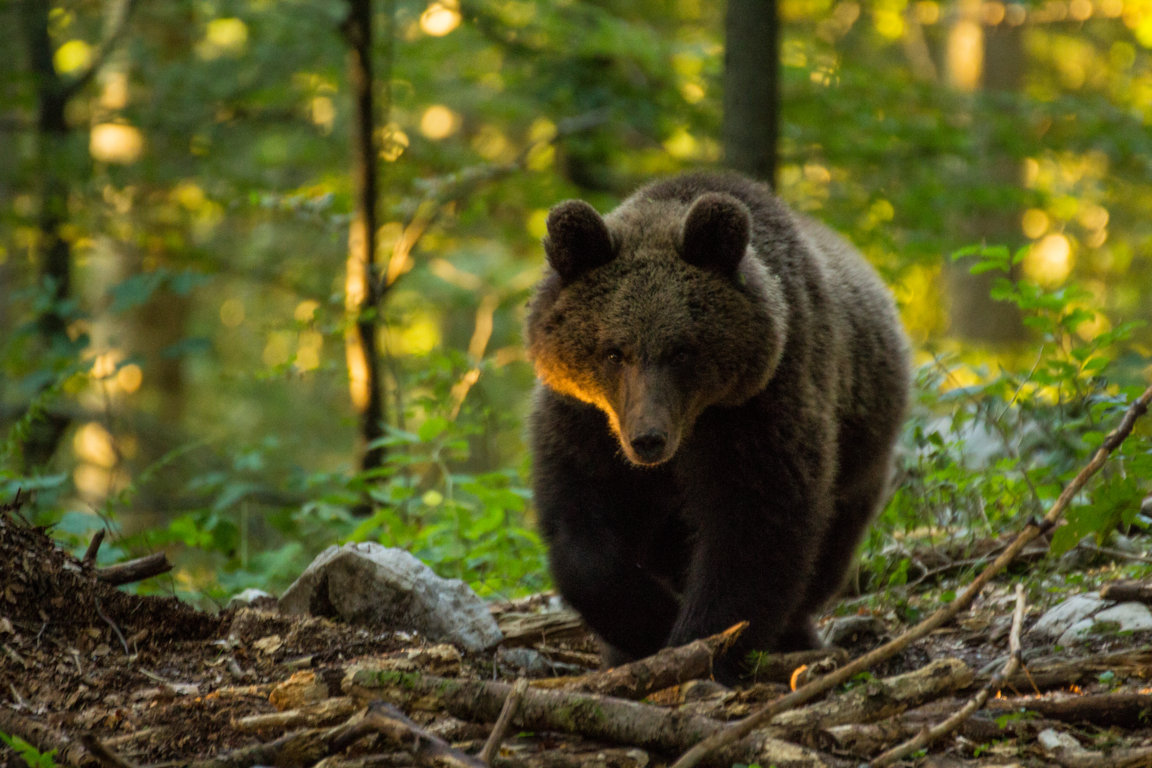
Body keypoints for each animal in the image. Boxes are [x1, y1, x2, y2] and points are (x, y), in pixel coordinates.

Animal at [524, 171, 910, 683]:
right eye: (613, 351)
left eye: (682, 350)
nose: (648, 440)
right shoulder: (583, 422)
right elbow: (582, 534)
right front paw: (649, 624)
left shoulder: (757, 411)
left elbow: (753, 526)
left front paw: (699, 644)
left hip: (862, 452)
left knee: (830, 548)